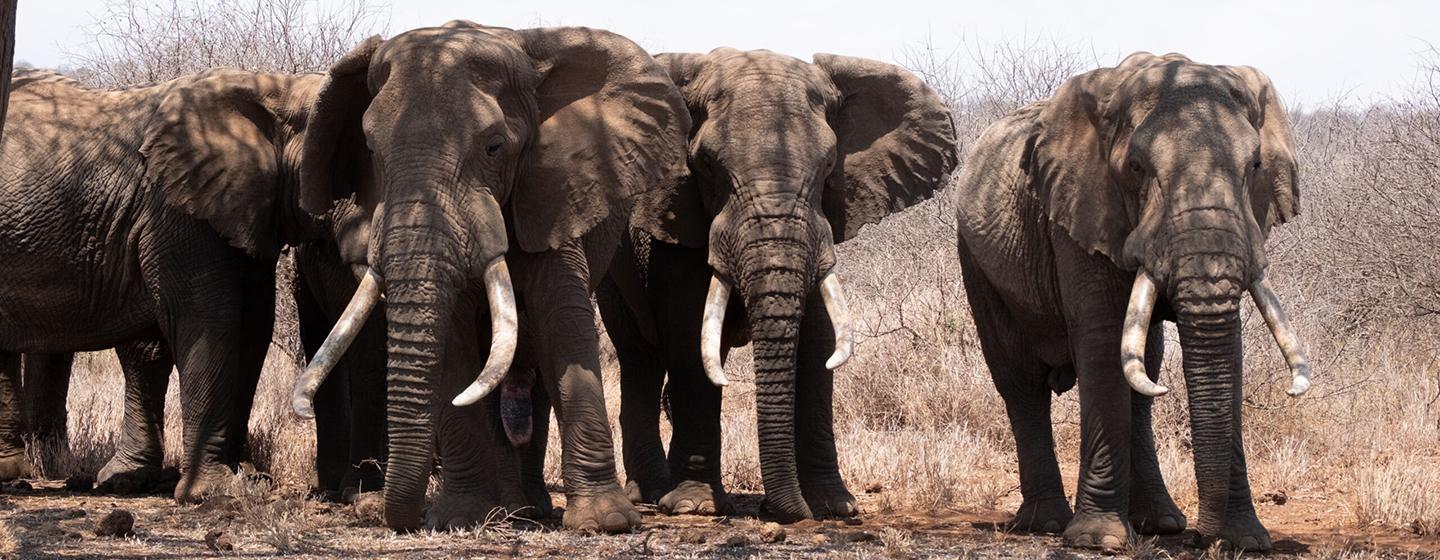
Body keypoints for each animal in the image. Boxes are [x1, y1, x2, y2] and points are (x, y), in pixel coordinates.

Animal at [0, 67, 331, 502]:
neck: (278, 89)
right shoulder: (177, 209)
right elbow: (209, 320)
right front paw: (214, 491)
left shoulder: (245, 208)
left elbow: (254, 324)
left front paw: (250, 479)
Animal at [287, 22, 690, 532]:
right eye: (372, 150)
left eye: (494, 146)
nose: (385, 513)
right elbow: (456, 341)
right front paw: (458, 517)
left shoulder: (550, 193)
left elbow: (562, 321)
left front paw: (606, 522)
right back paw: (510, 509)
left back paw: (529, 508)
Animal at [596, 48, 957, 522]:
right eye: (707, 166)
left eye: (828, 165)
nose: (784, 510)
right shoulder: (674, 224)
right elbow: (689, 334)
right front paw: (695, 506)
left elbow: (819, 341)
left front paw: (833, 506)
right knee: (641, 357)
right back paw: (653, 492)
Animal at [953, 52, 1312, 551]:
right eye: (1137, 167)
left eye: (1256, 164)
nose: (1203, 539)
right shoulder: (1081, 209)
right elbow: (1104, 342)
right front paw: (1098, 540)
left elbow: (1226, 349)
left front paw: (1246, 541)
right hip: (978, 261)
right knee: (1020, 382)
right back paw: (1048, 524)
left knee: (1146, 374)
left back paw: (1160, 523)